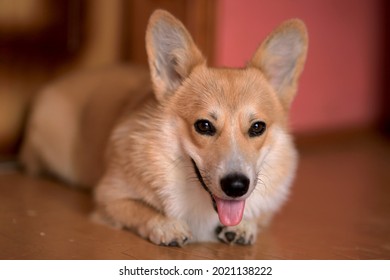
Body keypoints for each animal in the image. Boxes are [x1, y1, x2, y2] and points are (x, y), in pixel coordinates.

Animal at [20, 9, 308, 246]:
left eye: (258, 127)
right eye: (204, 125)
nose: (236, 186)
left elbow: (258, 216)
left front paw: (244, 227)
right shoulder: (108, 197)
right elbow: (140, 209)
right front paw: (166, 225)